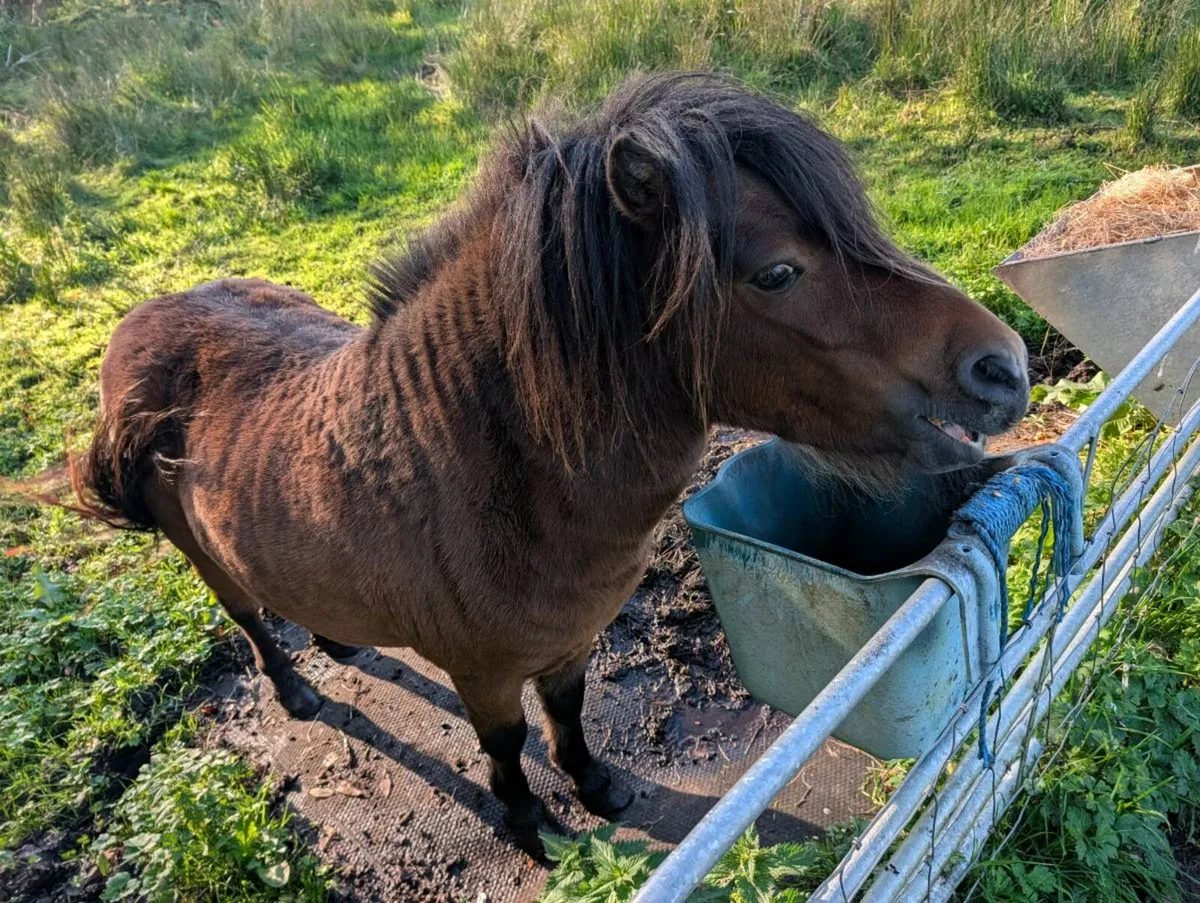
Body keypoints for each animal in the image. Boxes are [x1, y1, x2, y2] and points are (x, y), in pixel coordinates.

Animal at [71, 72, 1030, 850]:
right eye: (778, 273)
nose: (1004, 366)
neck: (472, 472)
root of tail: (133, 331)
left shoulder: (570, 640)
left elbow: (567, 717)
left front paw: (598, 787)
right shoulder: (484, 673)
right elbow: (505, 745)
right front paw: (531, 824)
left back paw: (339, 638)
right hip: (200, 558)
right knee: (246, 616)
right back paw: (296, 691)